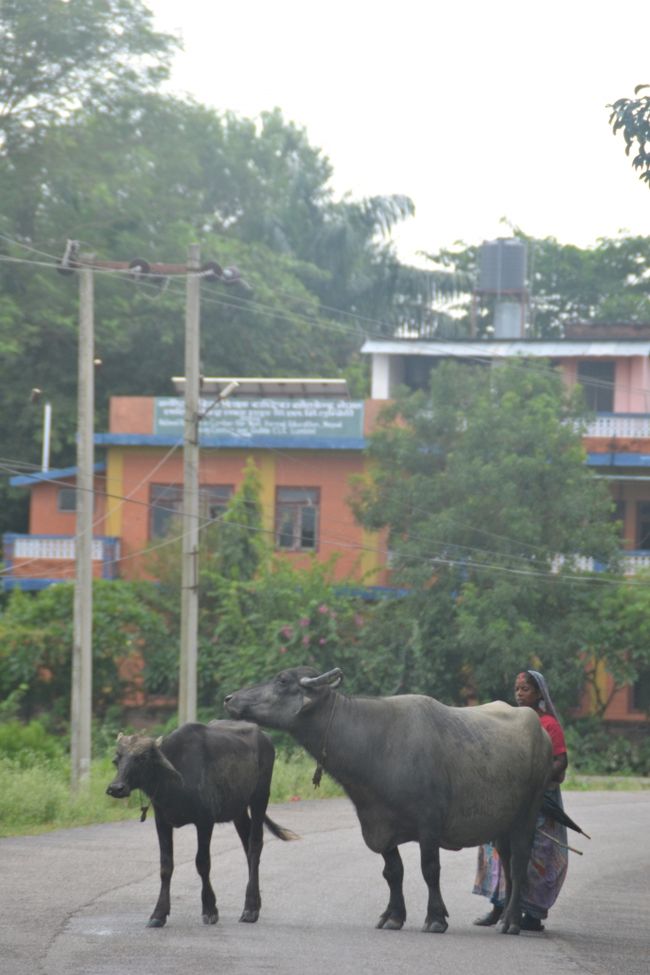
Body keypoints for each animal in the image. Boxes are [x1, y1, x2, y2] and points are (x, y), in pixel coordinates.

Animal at [105, 720, 296, 928]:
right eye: (117, 759)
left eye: (141, 758)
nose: (116, 788)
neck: (174, 780)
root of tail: (265, 737)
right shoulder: (162, 821)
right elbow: (166, 866)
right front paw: (158, 914)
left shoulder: (205, 821)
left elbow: (202, 863)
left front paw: (210, 909)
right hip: (239, 810)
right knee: (247, 845)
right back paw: (255, 903)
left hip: (260, 798)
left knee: (255, 845)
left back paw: (250, 909)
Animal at [224, 668, 552, 936]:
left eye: (281, 681)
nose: (229, 698)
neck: (377, 745)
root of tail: (539, 732)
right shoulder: (378, 822)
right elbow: (393, 872)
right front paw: (393, 916)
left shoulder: (429, 824)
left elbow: (430, 868)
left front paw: (435, 918)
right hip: (503, 821)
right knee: (506, 861)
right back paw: (504, 916)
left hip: (530, 809)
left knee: (520, 862)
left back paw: (512, 922)